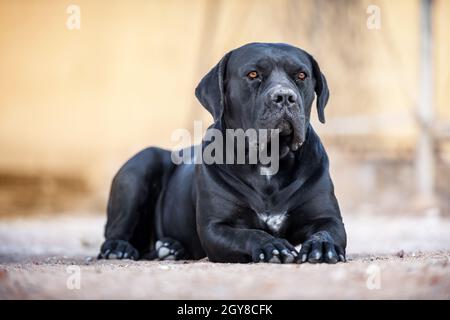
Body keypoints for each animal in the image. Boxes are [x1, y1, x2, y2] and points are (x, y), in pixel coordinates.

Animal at [100, 43, 346, 262]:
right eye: (253, 74)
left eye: (302, 75)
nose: (285, 96)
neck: (269, 159)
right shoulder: (215, 227)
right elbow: (251, 234)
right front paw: (273, 245)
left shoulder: (328, 218)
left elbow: (327, 231)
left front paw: (322, 247)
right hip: (141, 165)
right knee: (115, 232)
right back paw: (119, 248)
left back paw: (171, 248)